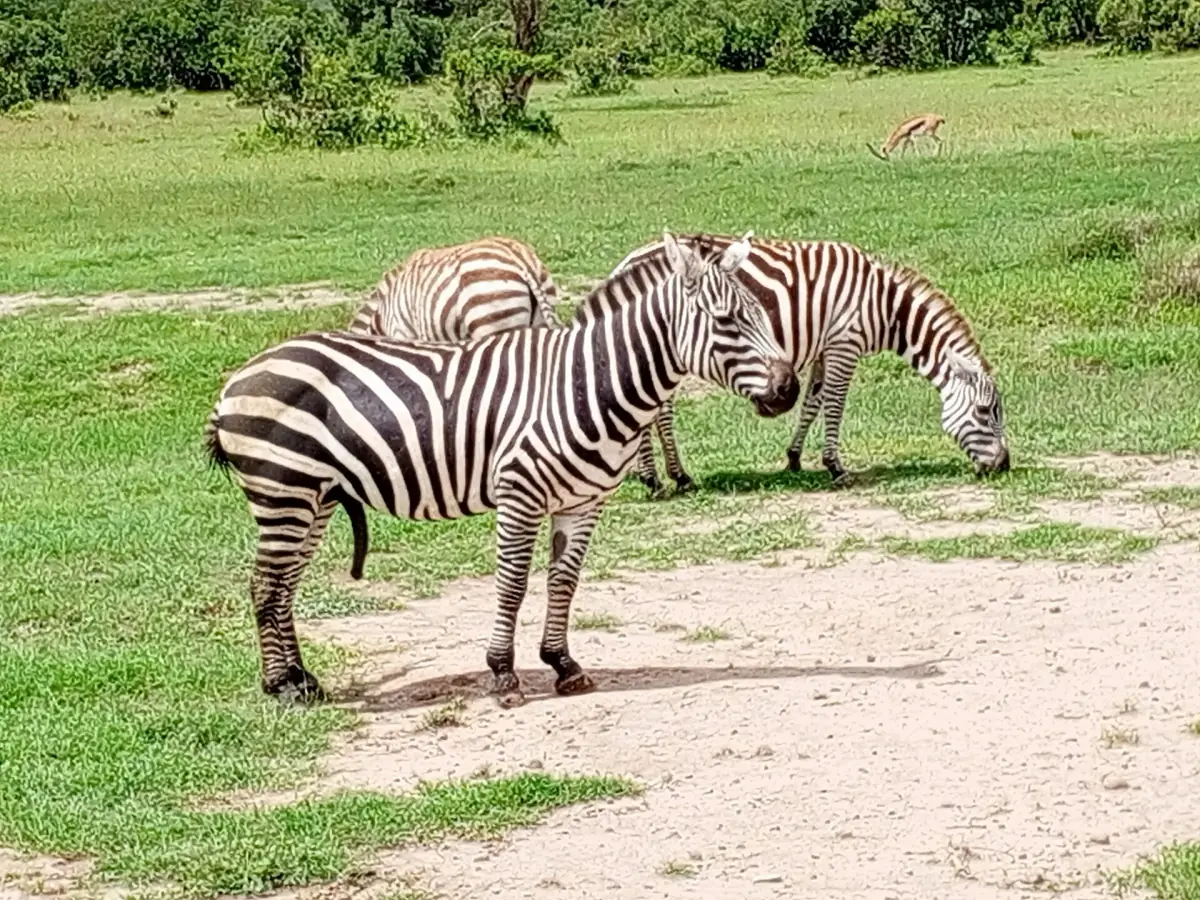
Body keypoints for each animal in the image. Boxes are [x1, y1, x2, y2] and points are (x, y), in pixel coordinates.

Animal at [613, 233, 1010, 489]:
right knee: (658, 412)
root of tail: (627, 260)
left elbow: (812, 402)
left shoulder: (825, 348)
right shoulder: (845, 344)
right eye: (985, 410)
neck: (885, 305)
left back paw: (667, 475)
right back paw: (660, 478)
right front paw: (835, 467)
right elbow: (834, 404)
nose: (1004, 466)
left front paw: (794, 457)